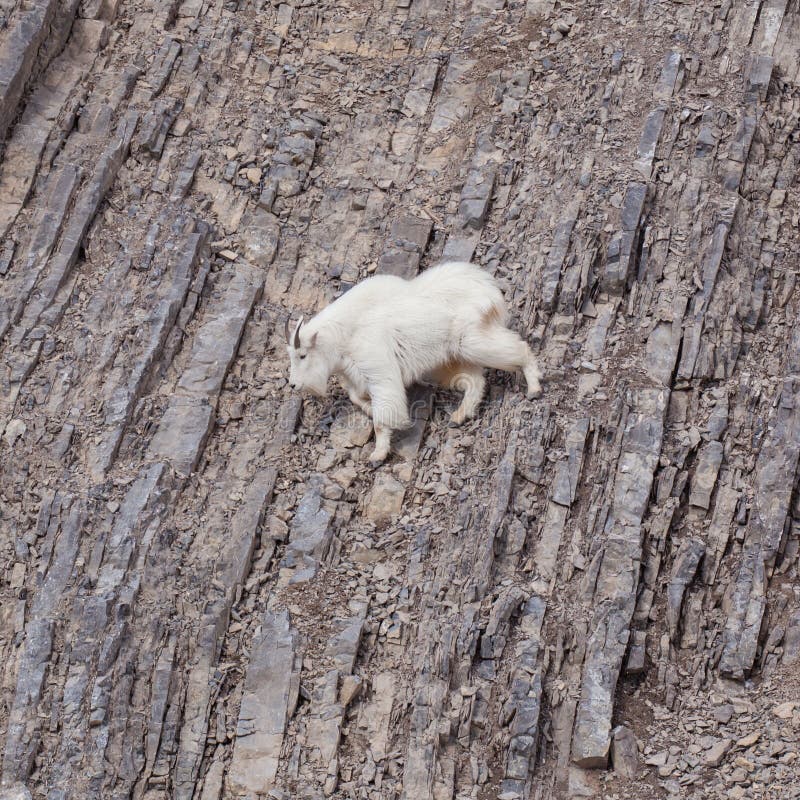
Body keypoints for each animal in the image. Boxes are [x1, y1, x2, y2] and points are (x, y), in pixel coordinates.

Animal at [284, 262, 540, 462]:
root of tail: (487, 288)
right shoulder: (357, 377)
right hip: (449, 361)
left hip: (471, 341)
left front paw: (378, 453)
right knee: (474, 380)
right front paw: (368, 410)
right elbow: (356, 397)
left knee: (519, 349)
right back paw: (460, 415)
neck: (342, 336)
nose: (294, 385)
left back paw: (535, 388)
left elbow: (383, 414)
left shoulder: (378, 369)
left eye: (302, 355)